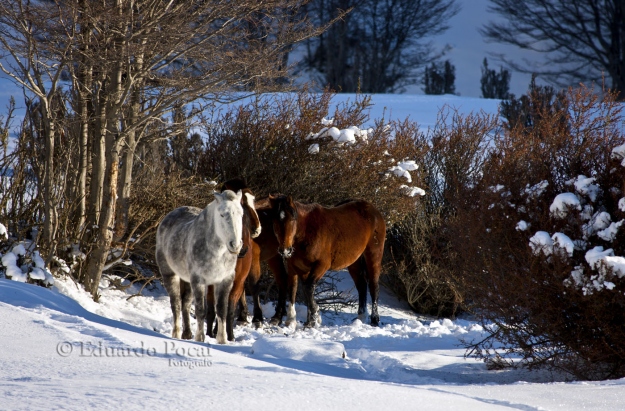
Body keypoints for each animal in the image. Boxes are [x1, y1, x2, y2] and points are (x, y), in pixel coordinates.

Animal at [155, 190, 243, 344]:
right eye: (222, 215)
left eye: (241, 214)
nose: (235, 245)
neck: (216, 251)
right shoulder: (199, 280)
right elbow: (201, 310)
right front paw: (200, 338)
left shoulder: (225, 281)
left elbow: (221, 310)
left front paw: (222, 340)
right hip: (170, 274)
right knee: (176, 303)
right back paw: (176, 333)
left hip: (188, 280)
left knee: (185, 304)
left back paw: (187, 334)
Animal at [266, 196, 382, 328]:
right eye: (275, 221)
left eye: (292, 220)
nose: (285, 250)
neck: (308, 230)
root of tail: (374, 210)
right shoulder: (296, 268)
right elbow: (297, 289)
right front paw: (302, 320)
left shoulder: (321, 265)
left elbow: (308, 288)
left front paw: (314, 318)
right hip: (354, 263)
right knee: (361, 286)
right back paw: (361, 318)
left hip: (373, 256)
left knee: (373, 286)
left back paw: (374, 320)